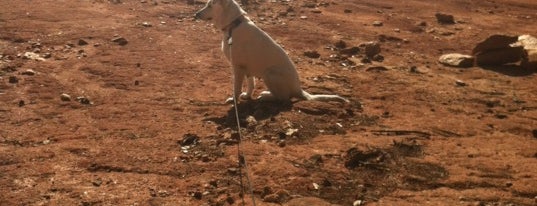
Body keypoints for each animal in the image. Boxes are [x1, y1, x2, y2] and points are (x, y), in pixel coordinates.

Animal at [195, 0, 350, 104]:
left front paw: (234, 100)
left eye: (210, 5)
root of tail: (298, 89)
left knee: (284, 98)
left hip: (269, 73)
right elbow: (250, 84)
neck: (234, 24)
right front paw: (247, 96)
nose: (195, 14)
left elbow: (236, 88)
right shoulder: (247, 68)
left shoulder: (238, 67)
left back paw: (265, 95)